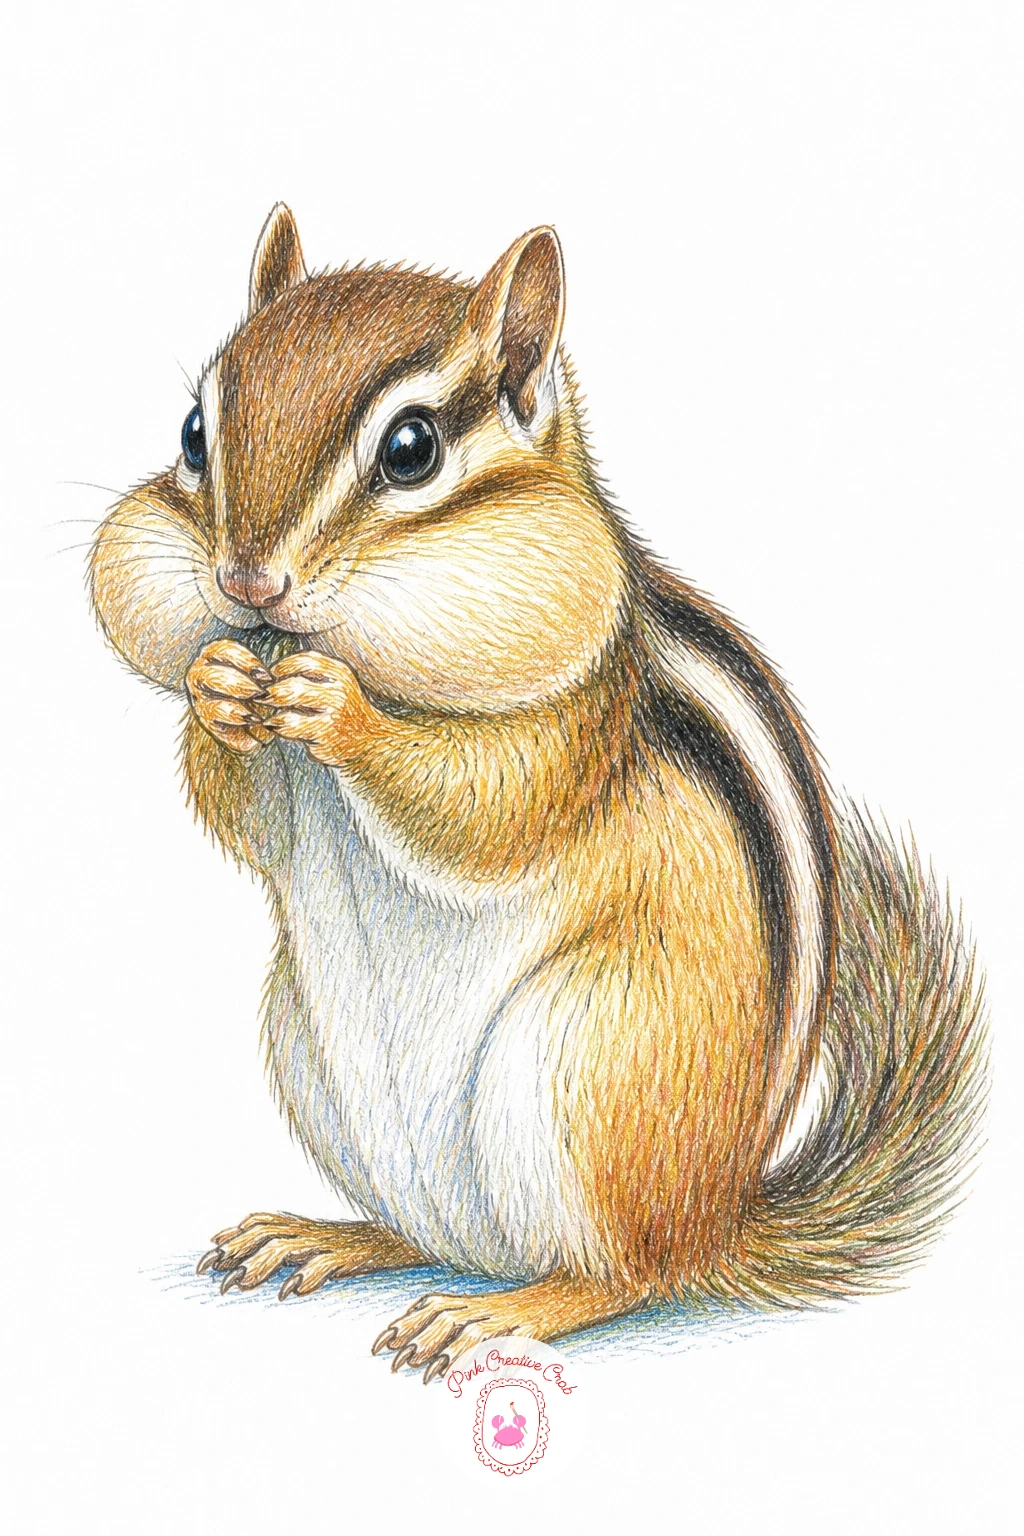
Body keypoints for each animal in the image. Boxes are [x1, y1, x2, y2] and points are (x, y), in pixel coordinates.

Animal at [90, 204, 987, 1383]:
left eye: (411, 450)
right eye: (195, 435)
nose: (246, 583)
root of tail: (720, 1220)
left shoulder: (571, 725)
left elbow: (488, 810)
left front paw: (338, 708)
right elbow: (256, 824)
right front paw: (216, 685)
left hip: (588, 1065)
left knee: (625, 1277)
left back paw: (500, 1313)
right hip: (308, 1051)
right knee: (430, 1236)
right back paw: (330, 1236)